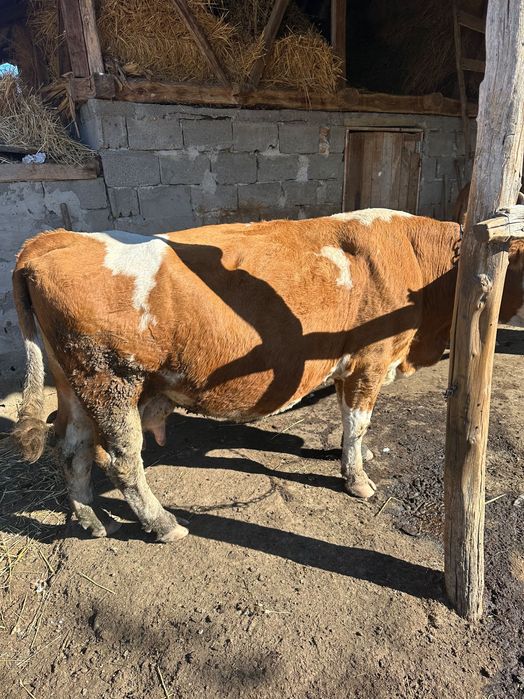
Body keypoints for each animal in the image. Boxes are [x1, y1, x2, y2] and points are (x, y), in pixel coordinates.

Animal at [10, 209, 524, 542]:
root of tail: (56, 240)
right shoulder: (370, 359)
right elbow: (358, 421)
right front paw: (357, 480)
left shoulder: (346, 364)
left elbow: (349, 423)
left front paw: (351, 458)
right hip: (110, 379)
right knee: (122, 460)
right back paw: (163, 524)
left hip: (74, 383)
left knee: (72, 447)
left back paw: (92, 520)